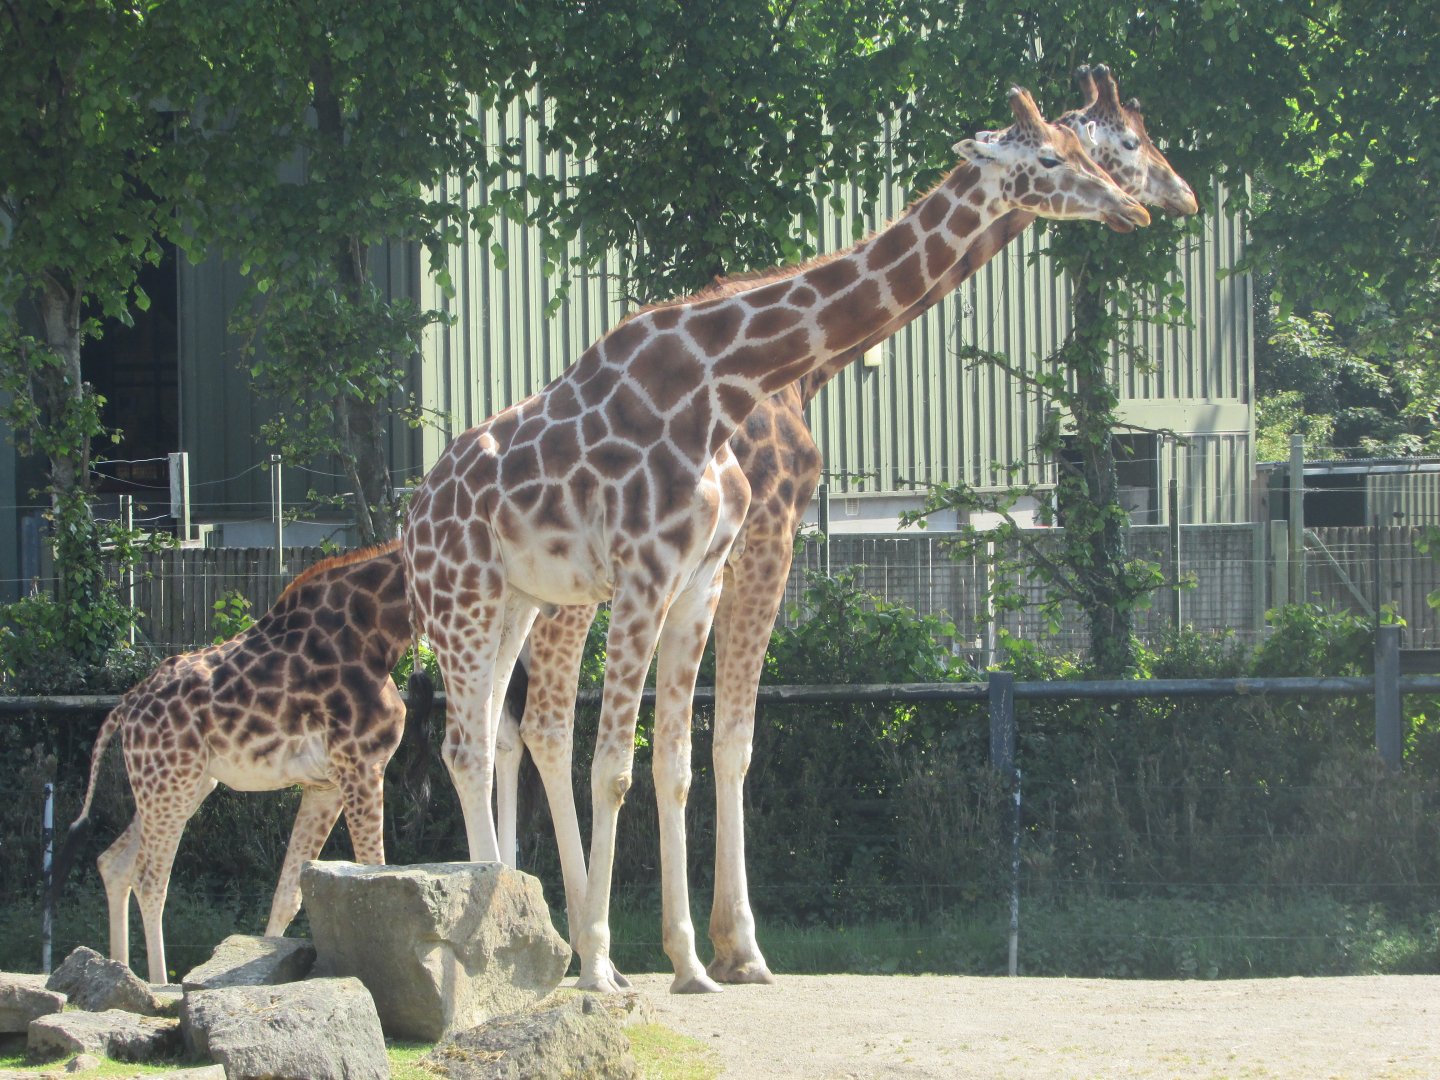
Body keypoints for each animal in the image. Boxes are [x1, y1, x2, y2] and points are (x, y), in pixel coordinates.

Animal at [60, 542, 425, 984]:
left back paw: (117, 971)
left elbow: (288, 893)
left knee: (113, 863)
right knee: (150, 880)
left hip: (176, 787)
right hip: (170, 783)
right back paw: (159, 985)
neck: (378, 637)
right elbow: (374, 871)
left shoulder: (326, 785)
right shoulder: (362, 766)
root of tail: (124, 710)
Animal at [403, 86, 1150, 994]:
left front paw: (690, 962)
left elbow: (676, 762)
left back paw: (519, 931)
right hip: (463, 601)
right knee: (471, 744)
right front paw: (609, 965)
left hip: (512, 603)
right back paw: (506, 941)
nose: (1140, 207)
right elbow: (616, 765)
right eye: (1052, 157)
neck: (723, 379)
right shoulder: (648, 571)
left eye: (1085, 151)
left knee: (492, 734)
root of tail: (414, 514)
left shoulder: (696, 578)